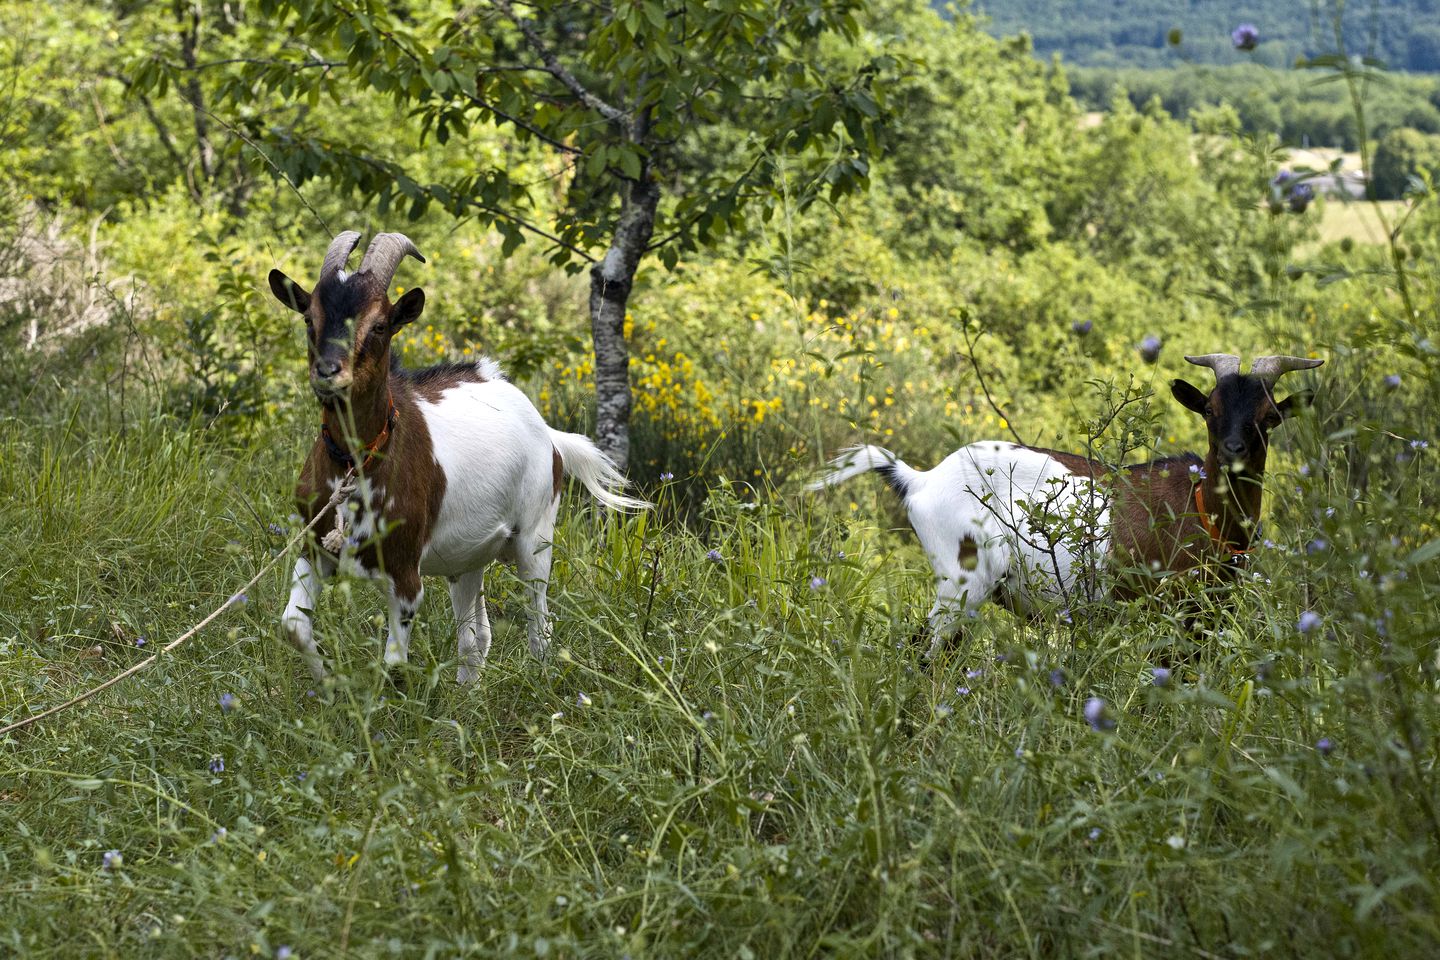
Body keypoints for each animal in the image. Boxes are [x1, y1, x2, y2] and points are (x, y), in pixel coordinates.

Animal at [269, 233, 648, 682]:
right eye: (309, 318)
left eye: (380, 324)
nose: (328, 372)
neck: (353, 466)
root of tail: (547, 431)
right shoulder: (315, 547)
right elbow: (293, 625)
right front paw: (328, 680)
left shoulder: (404, 573)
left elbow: (393, 666)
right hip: (468, 556)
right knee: (475, 636)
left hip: (535, 536)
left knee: (539, 624)